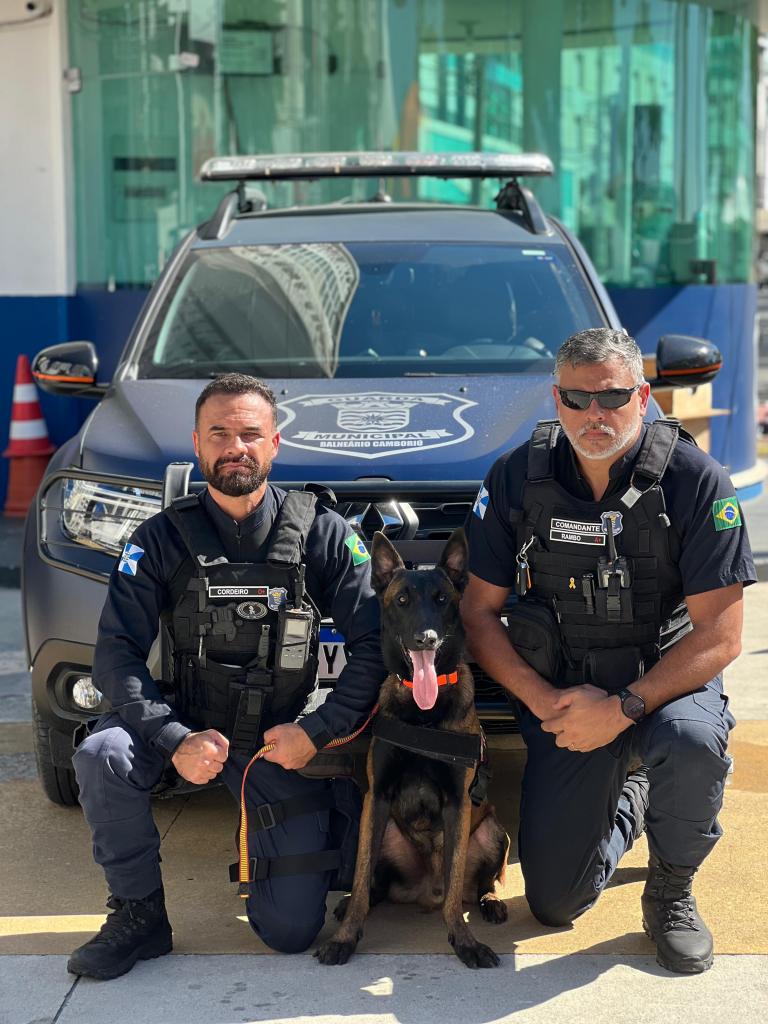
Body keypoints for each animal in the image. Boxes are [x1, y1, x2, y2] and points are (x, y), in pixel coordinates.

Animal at [315, 528, 509, 969]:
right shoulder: (377, 797)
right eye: (402, 600)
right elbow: (361, 875)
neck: (424, 715)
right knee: (374, 884)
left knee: (480, 882)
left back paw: (489, 901)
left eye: (442, 599)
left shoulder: (458, 802)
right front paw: (346, 936)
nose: (426, 639)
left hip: (495, 830)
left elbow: (455, 882)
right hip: (382, 828)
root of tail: (424, 892)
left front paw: (464, 941)